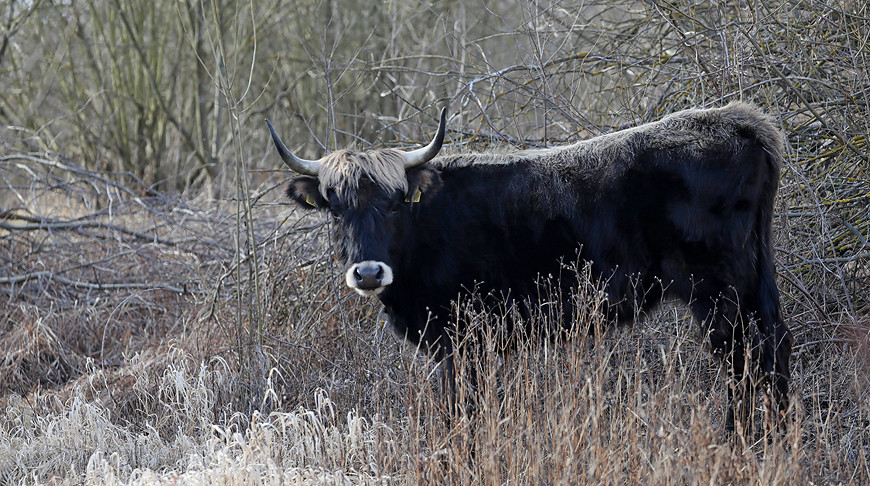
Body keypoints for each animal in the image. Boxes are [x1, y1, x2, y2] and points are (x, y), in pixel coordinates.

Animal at [268, 104, 796, 430]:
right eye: (337, 208)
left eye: (396, 203)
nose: (369, 273)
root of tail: (737, 120)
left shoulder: (464, 341)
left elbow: (463, 411)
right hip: (754, 281)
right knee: (775, 346)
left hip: (720, 292)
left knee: (745, 361)